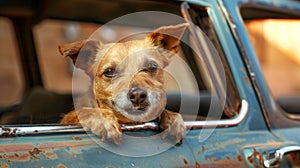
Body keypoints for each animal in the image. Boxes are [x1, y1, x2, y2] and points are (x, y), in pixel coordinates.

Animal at [58, 23, 188, 144]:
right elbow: (81, 112)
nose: (138, 95)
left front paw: (171, 118)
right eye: (109, 71)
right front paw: (104, 119)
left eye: (151, 67)